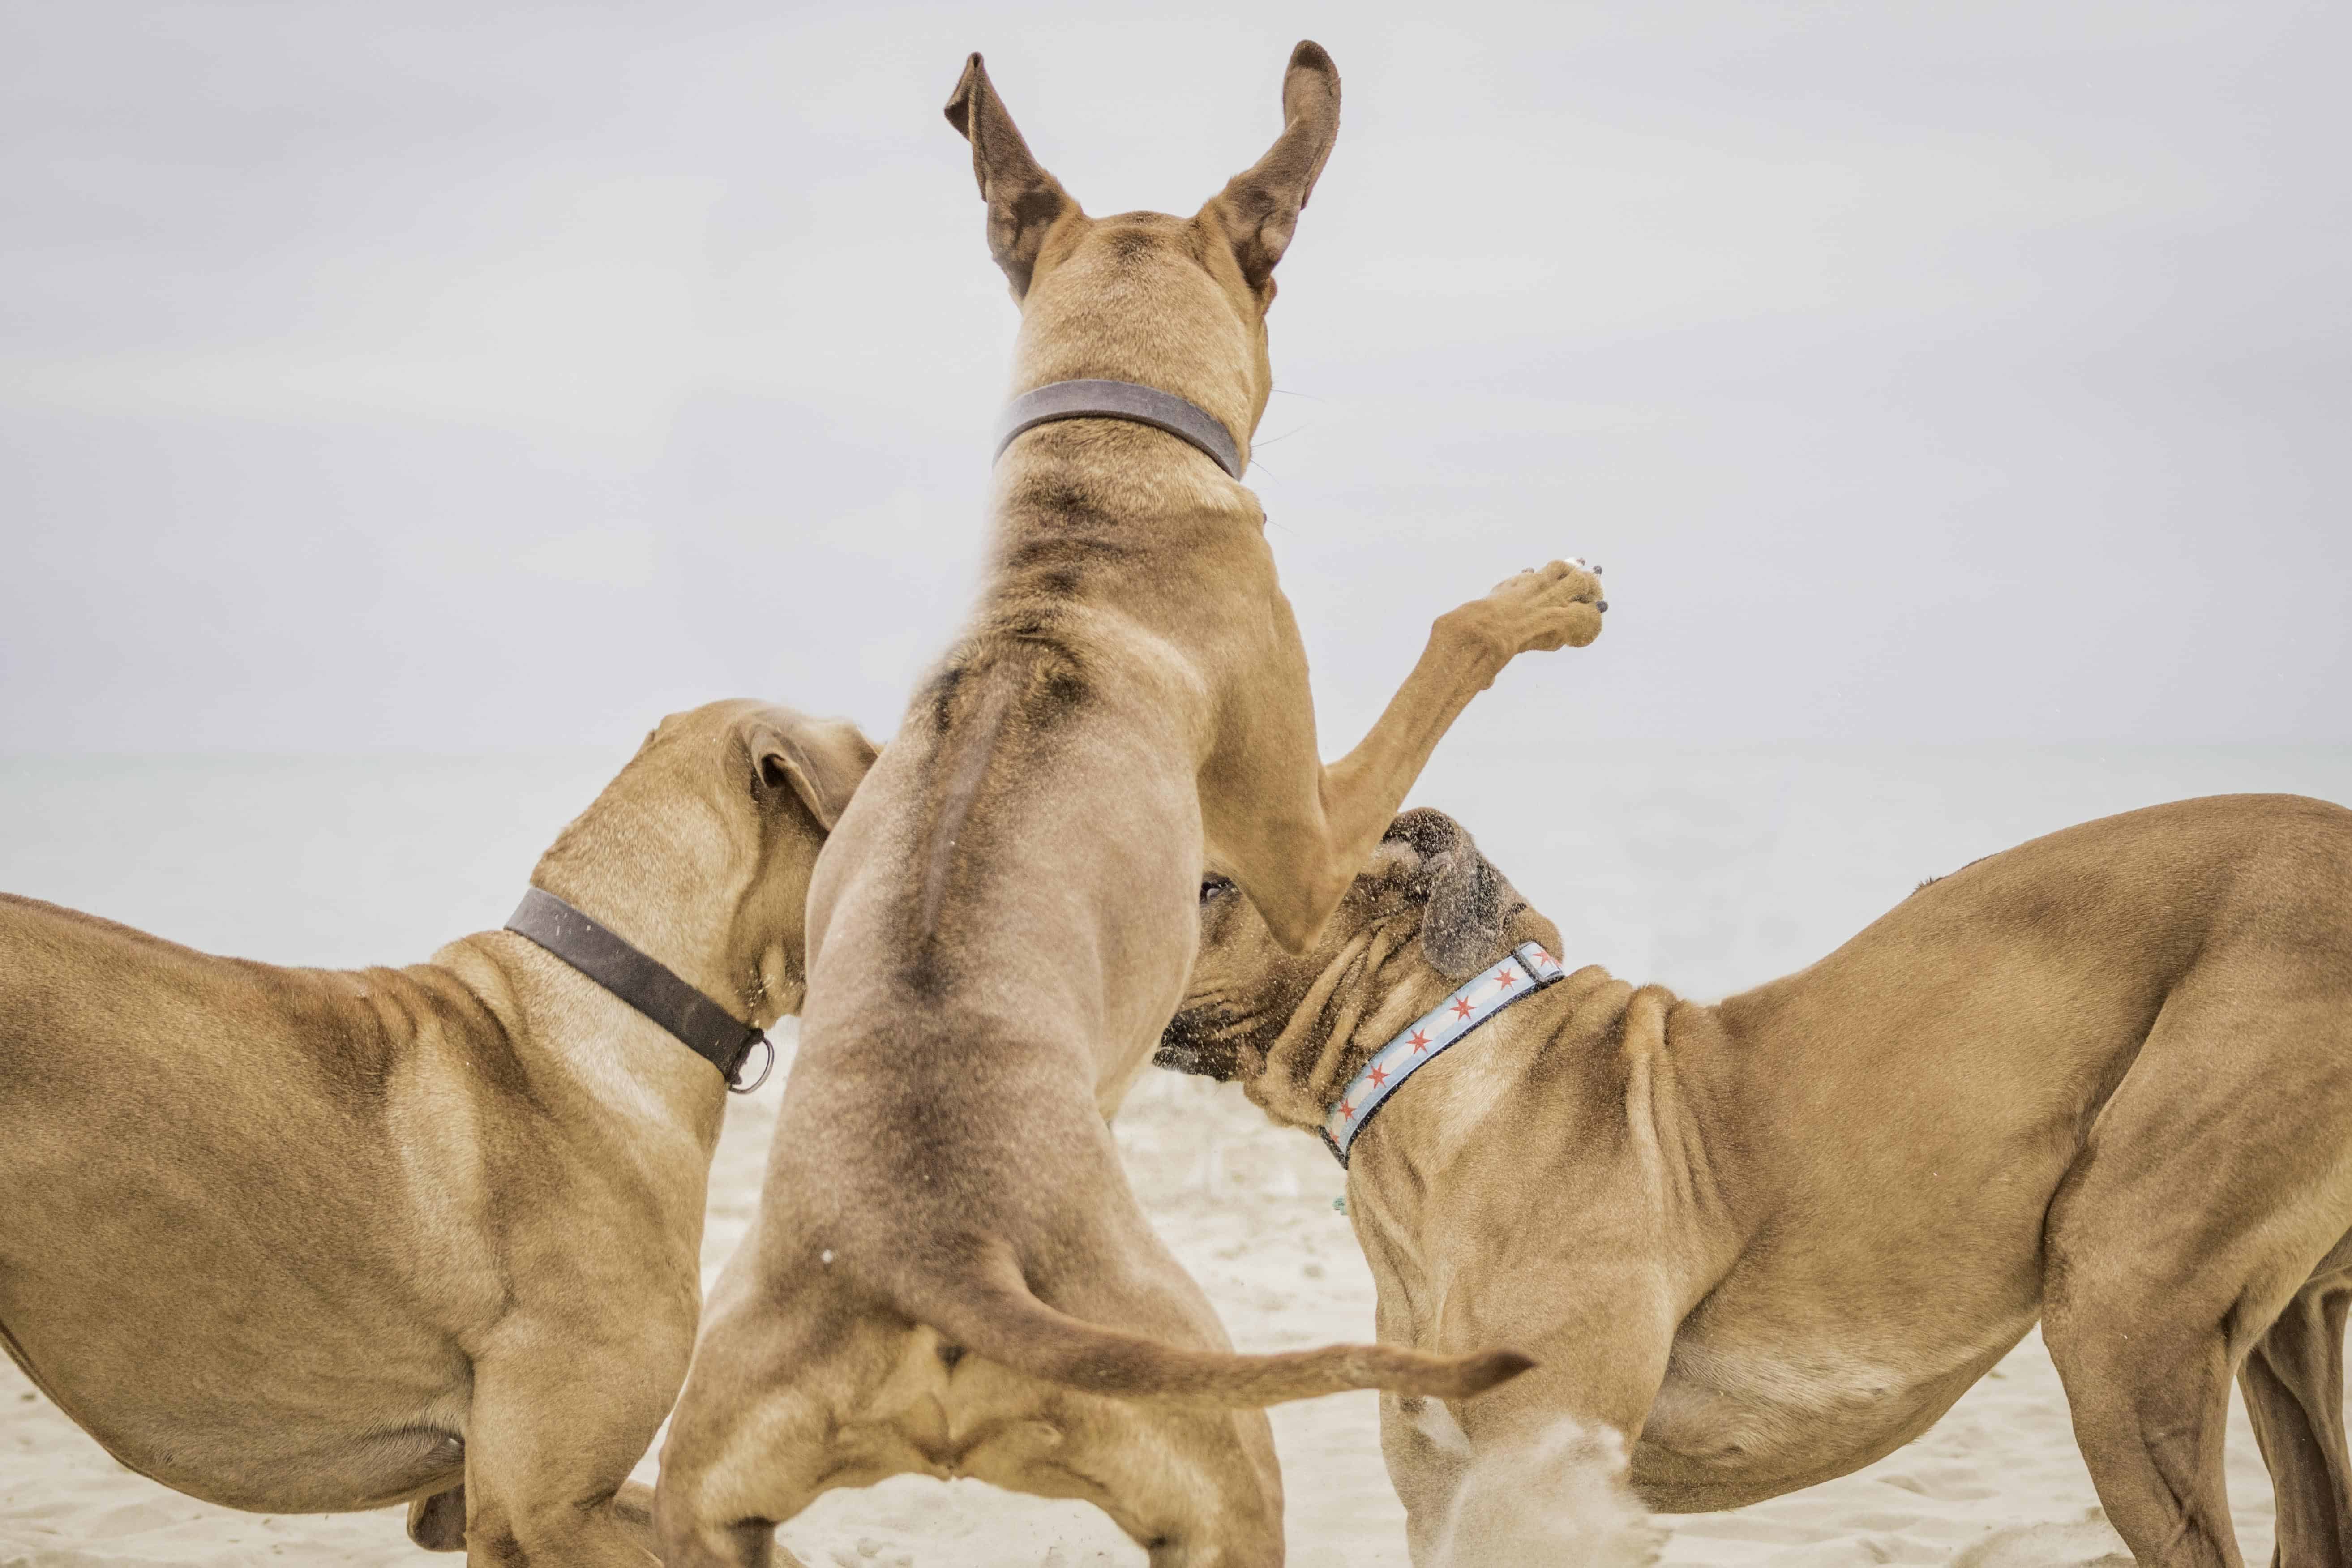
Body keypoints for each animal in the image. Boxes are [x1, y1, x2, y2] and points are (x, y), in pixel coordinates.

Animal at [663, 40, 1609, 1568]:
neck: (1094, 485)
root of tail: (935, 1247)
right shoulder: (1303, 838)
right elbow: (1444, 649)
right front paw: (1538, 602)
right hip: (1218, 1455)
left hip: (706, 1495)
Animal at [1157, 799, 2352, 1568]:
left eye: (1209, 882)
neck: (1434, 1066)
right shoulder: (1444, 1499)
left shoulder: (1539, 1487)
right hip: (2276, 1333)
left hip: (2120, 1315)